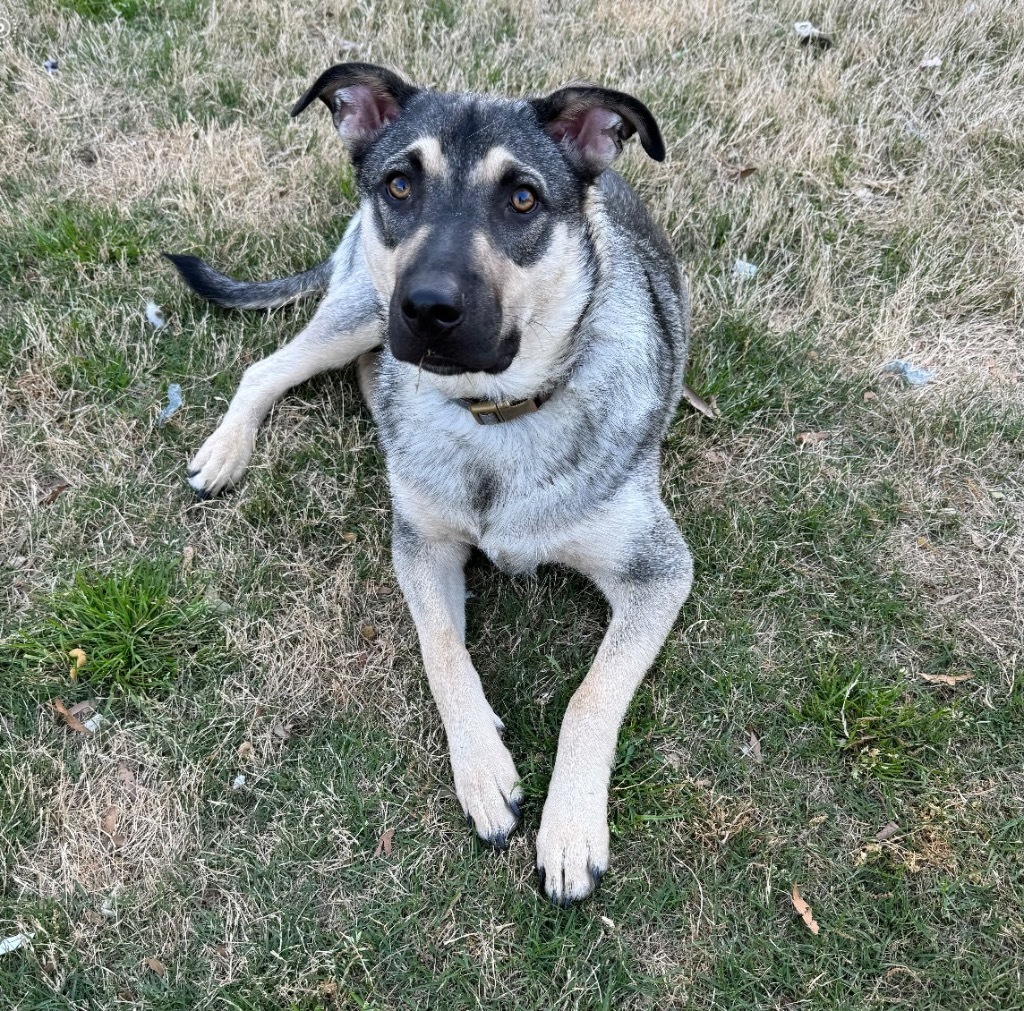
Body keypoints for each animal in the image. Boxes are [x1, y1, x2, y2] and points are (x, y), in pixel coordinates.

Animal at [165, 59, 696, 905]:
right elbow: (442, 649)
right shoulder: (421, 545)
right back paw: (226, 450)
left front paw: (571, 828)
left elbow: (591, 694)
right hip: (361, 311)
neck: (496, 414)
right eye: (400, 184)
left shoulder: (659, 571)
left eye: (523, 198)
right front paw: (483, 773)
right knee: (269, 366)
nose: (429, 307)